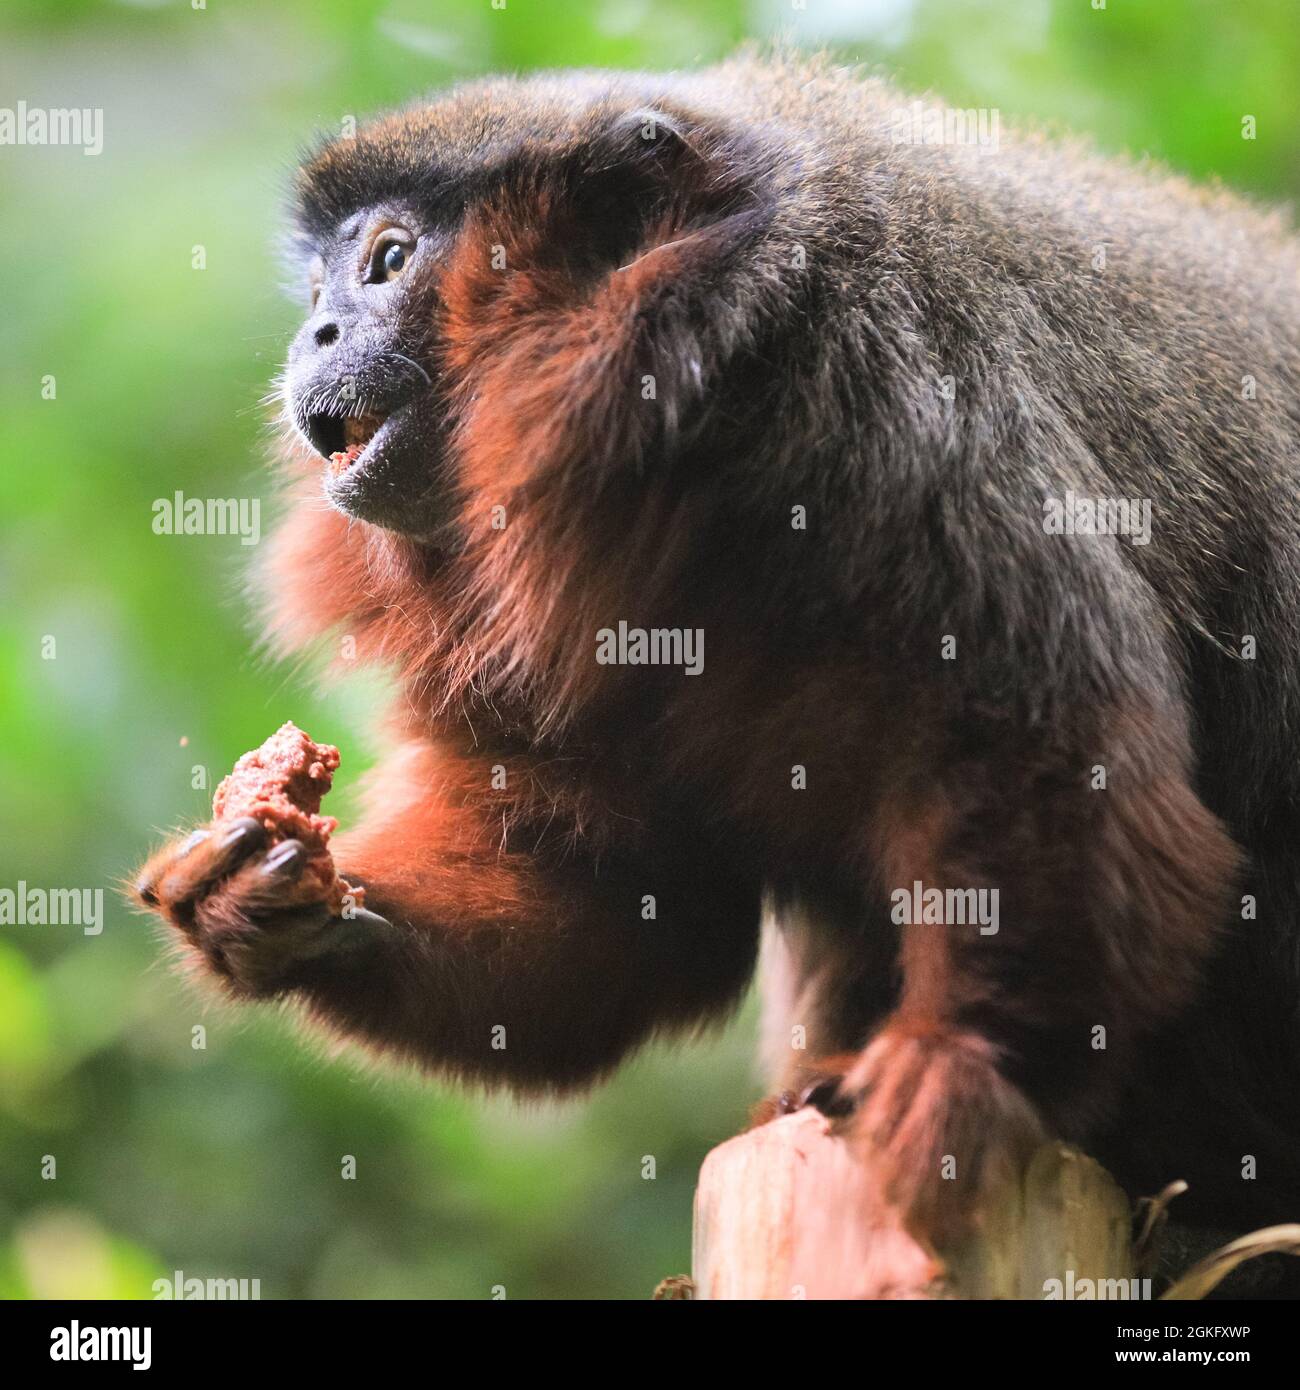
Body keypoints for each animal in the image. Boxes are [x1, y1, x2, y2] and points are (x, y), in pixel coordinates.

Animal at [132, 54, 1300, 1273]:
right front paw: (283, 904)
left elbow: (1058, 750)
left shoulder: (913, 409)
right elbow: (633, 901)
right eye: (320, 282)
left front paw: (964, 1061)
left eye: (388, 261)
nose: (312, 335)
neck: (698, 441)